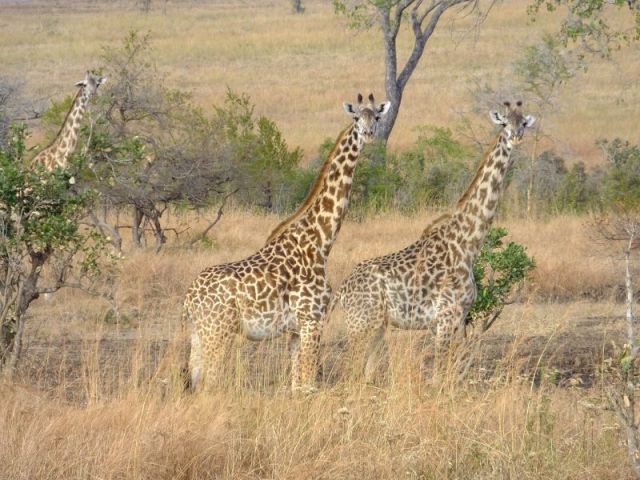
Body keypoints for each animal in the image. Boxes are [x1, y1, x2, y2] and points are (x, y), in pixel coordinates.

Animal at [182, 94, 391, 393]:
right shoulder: (312, 320)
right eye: (355, 117)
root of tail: (189, 299)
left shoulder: (295, 330)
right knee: (208, 384)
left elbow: (296, 386)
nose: (369, 134)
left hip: (198, 334)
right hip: (217, 332)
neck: (321, 240)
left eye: (376, 116)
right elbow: (309, 385)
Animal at [331, 101, 535, 382]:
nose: (515, 136)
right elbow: (440, 374)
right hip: (360, 324)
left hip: (378, 326)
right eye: (504, 123)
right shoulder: (446, 317)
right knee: (348, 371)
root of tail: (341, 290)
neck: (467, 243)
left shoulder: (458, 317)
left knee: (366, 374)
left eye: (523, 123)